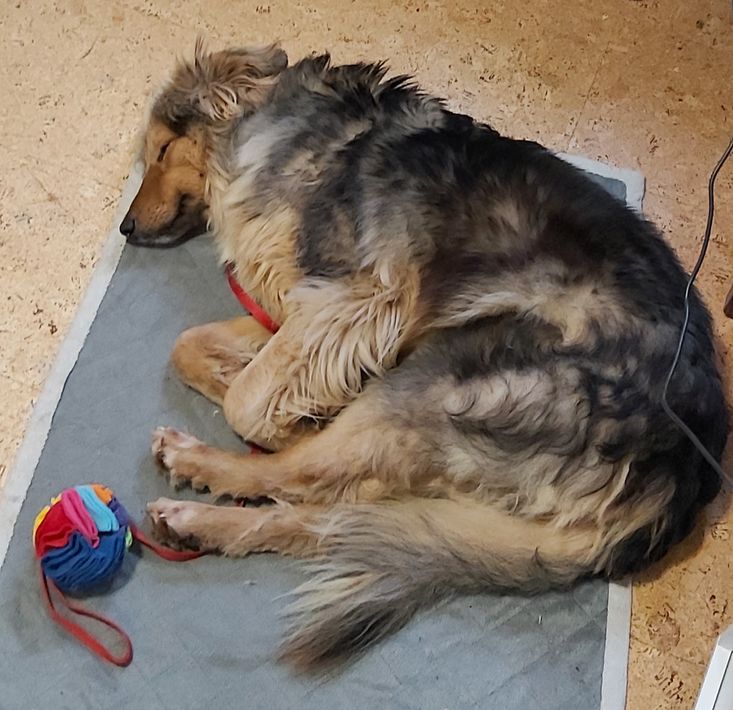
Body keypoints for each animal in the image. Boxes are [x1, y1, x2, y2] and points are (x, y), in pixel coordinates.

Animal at [120, 41, 729, 670]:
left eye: (161, 150)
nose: (125, 227)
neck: (279, 126)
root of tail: (677, 481)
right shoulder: (298, 307)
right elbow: (189, 347)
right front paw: (280, 397)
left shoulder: (354, 296)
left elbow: (248, 402)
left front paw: (288, 415)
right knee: (335, 517)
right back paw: (203, 524)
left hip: (443, 376)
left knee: (305, 478)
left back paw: (199, 469)